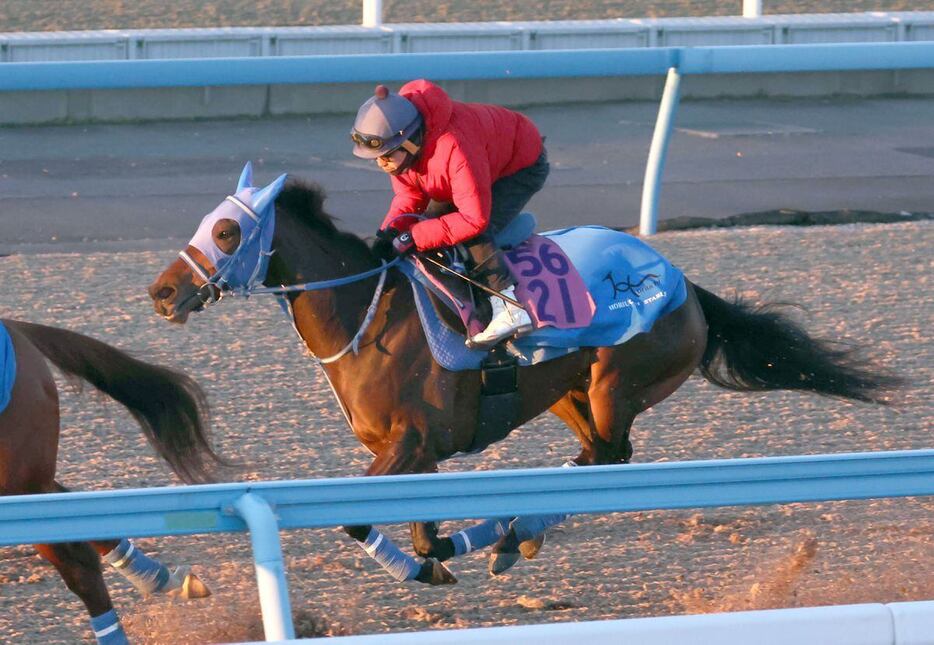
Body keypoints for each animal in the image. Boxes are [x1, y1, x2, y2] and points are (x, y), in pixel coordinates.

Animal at [150, 165, 904, 584]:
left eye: (226, 232)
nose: (161, 293)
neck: (368, 313)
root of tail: (683, 282)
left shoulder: (411, 442)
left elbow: (358, 519)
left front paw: (426, 563)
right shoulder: (414, 452)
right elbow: (422, 523)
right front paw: (432, 558)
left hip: (615, 382)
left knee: (610, 458)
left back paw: (515, 531)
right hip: (566, 388)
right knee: (594, 457)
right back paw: (516, 532)